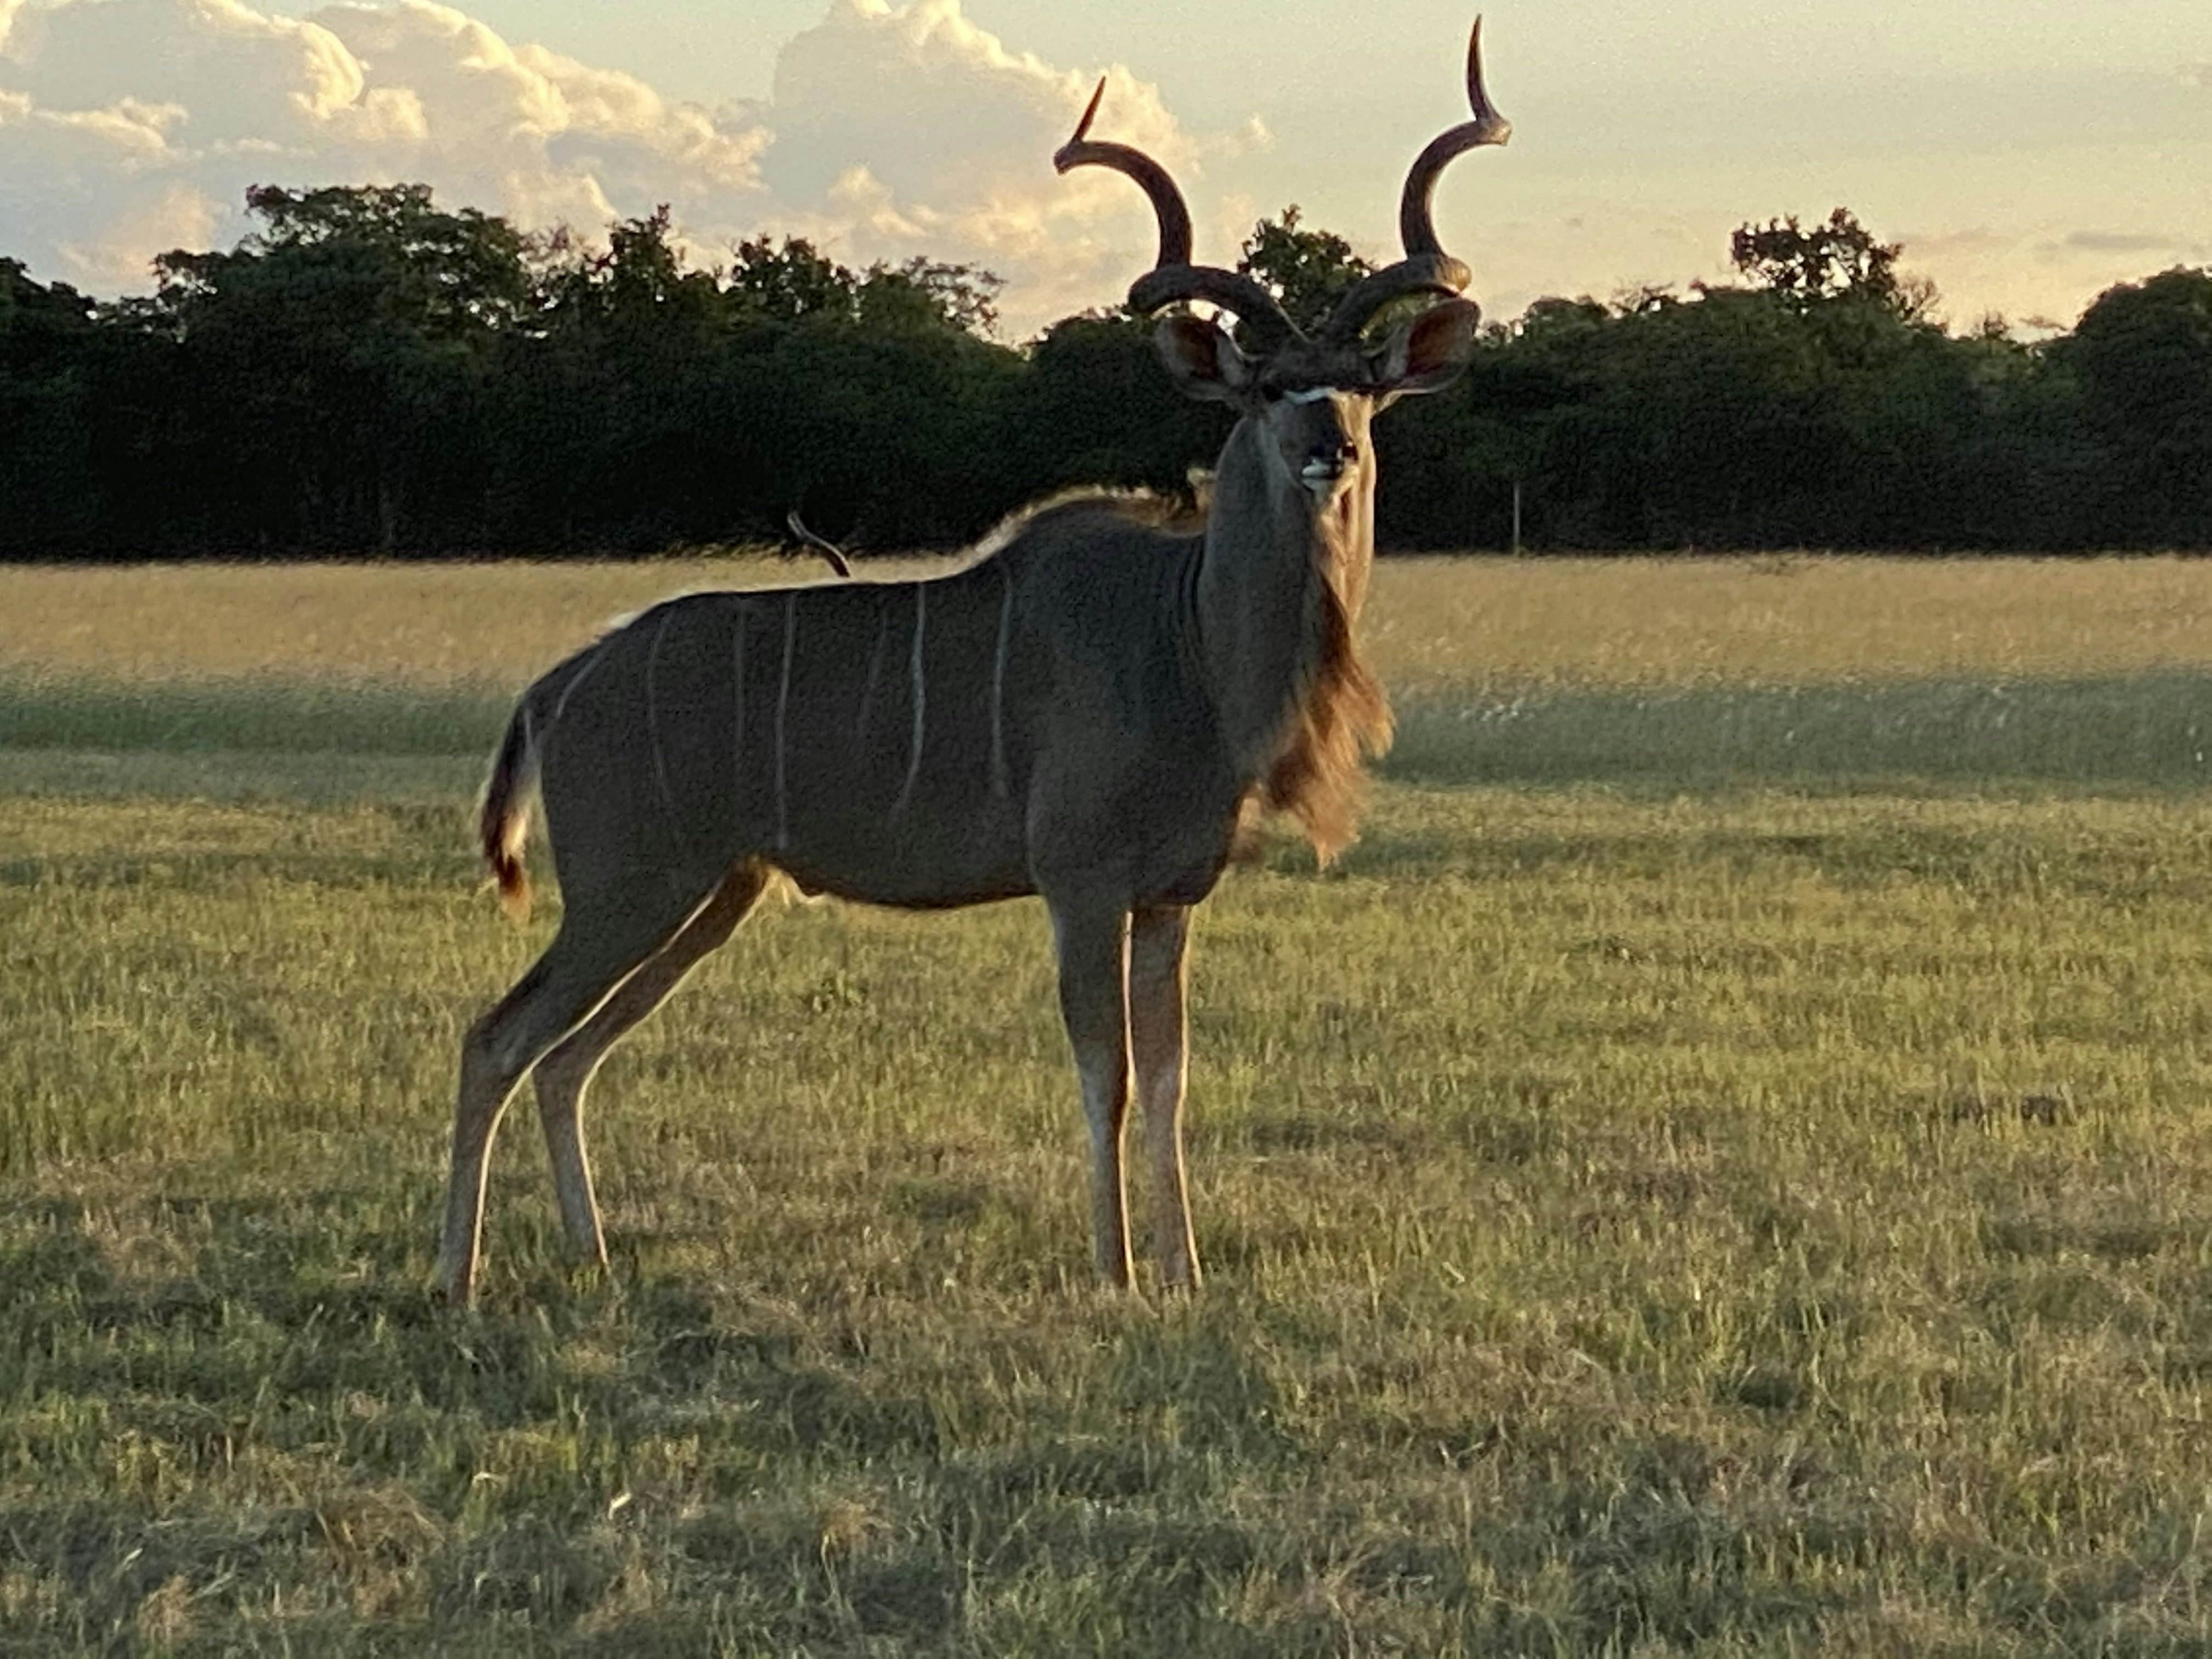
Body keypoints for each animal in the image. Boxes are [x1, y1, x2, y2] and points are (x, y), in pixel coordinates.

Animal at [433, 18, 1510, 1304]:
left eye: (1361, 388)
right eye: (1260, 388)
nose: (1325, 449)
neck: (1188, 643)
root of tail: (559, 687)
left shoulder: (1170, 898)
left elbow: (1173, 1084)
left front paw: (1188, 1270)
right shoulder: (1082, 885)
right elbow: (1111, 1079)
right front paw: (1118, 1272)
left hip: (705, 894)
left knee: (568, 1054)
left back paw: (590, 1256)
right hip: (631, 888)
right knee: (498, 1035)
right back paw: (454, 1275)